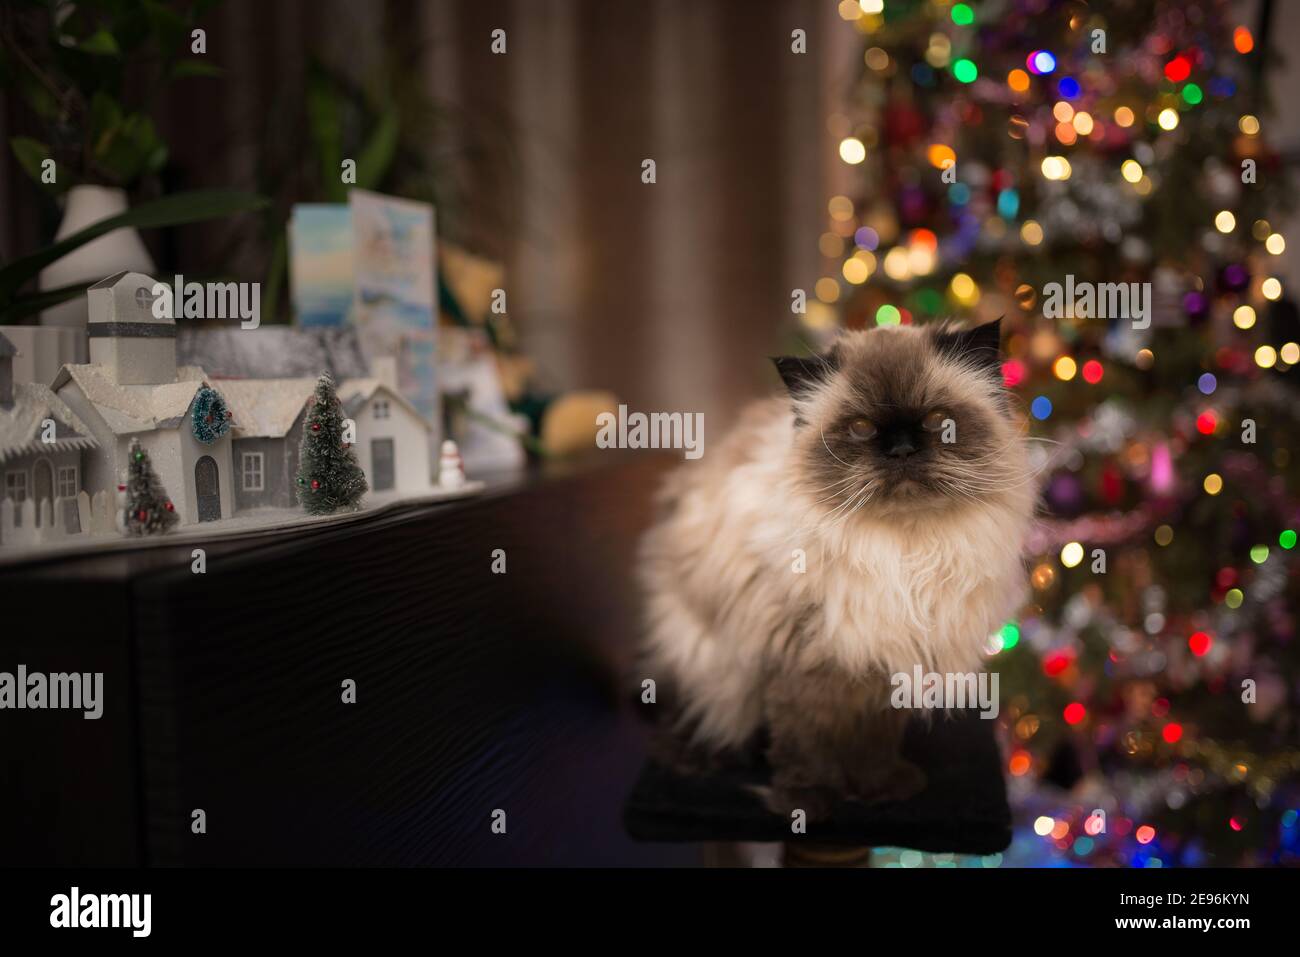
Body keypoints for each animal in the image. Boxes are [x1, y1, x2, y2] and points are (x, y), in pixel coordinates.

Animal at [637, 319, 1034, 816]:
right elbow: (804, 743)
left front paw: (879, 788)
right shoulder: (799, 656)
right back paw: (699, 759)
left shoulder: (887, 659)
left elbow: (873, 742)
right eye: (861, 428)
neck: (906, 552)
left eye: (935, 421)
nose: (901, 450)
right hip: (703, 654)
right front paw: (809, 801)